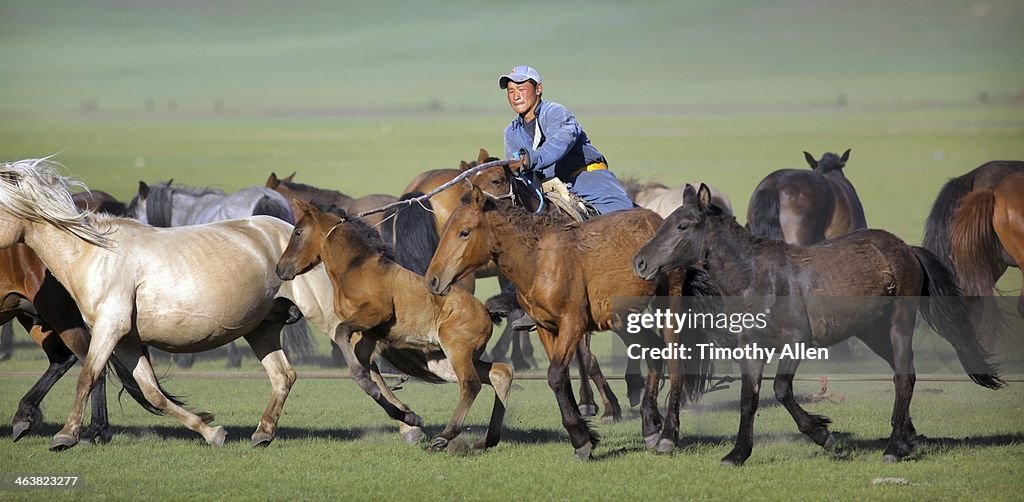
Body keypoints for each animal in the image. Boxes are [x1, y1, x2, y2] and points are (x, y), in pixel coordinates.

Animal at [276, 199, 512, 450]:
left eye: (298, 232)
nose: (280, 268)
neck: (356, 269)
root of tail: (486, 311)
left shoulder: (375, 313)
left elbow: (346, 341)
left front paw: (368, 384)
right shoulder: (367, 335)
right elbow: (374, 375)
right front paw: (410, 417)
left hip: (456, 349)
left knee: (471, 384)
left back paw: (446, 435)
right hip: (448, 360)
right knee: (500, 373)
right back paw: (488, 439)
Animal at [634, 184, 1003, 467]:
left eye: (682, 226)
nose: (640, 262)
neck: (758, 278)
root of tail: (906, 249)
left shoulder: (796, 341)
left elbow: (781, 390)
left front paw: (824, 434)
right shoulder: (750, 348)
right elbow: (748, 400)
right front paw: (737, 455)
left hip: (898, 324)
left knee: (904, 378)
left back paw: (893, 449)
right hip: (872, 332)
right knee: (905, 373)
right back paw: (908, 440)